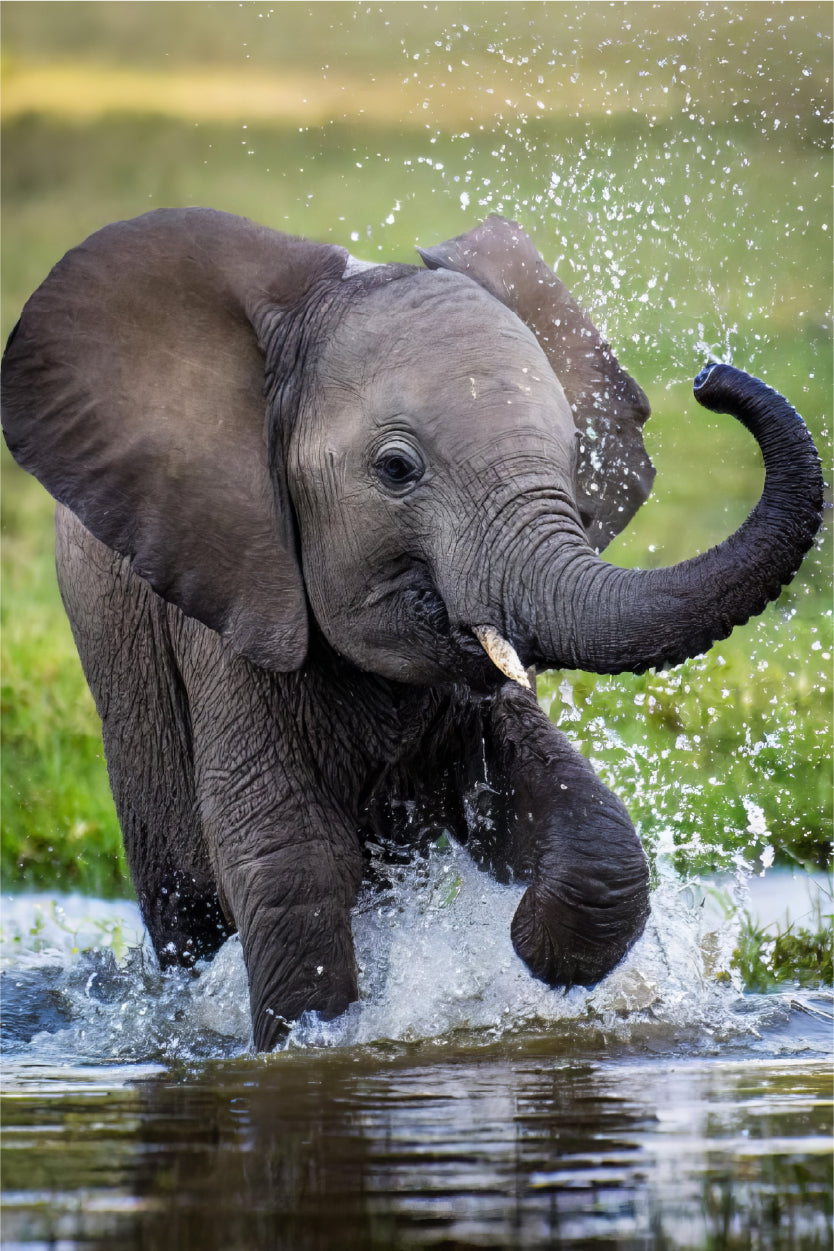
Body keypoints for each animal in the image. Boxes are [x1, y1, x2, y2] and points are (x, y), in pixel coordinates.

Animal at [1, 209, 823, 1051]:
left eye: (574, 456)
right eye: (397, 469)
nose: (710, 379)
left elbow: (559, 805)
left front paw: (534, 957)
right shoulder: (233, 596)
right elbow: (292, 858)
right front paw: (311, 1044)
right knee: (183, 909)